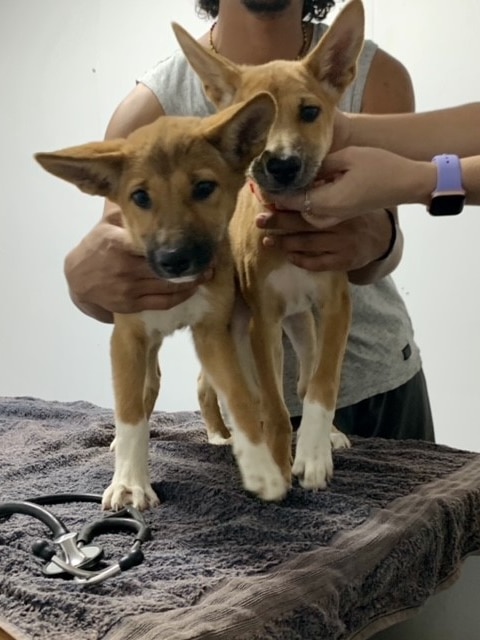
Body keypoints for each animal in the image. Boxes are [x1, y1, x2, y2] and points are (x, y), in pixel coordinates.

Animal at [35, 92, 284, 508]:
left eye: (204, 187)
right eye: (140, 197)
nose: (174, 258)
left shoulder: (211, 332)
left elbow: (239, 398)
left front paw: (262, 467)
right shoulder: (127, 339)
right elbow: (130, 412)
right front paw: (129, 482)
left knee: (204, 387)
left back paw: (219, 435)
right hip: (144, 353)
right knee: (144, 395)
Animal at [174, 0, 366, 498]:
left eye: (310, 111)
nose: (281, 164)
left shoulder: (334, 306)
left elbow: (320, 385)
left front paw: (314, 454)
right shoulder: (263, 320)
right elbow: (277, 411)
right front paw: (279, 467)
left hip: (302, 324)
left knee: (301, 377)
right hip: (237, 329)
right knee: (218, 387)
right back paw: (221, 435)